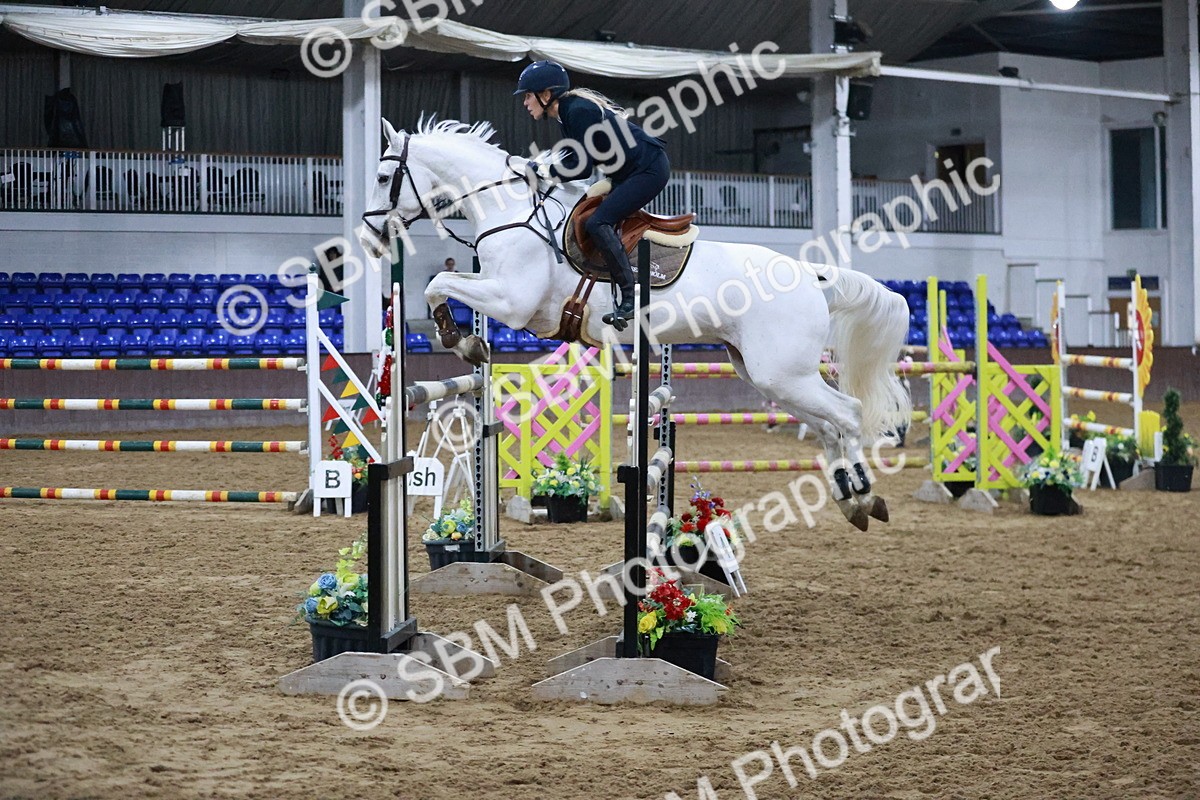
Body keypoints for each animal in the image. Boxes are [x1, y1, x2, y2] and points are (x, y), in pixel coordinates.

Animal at [360, 118, 912, 531]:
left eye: (385, 178)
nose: (368, 238)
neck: (510, 211)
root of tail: (810, 272)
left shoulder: (511, 303)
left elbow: (438, 282)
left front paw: (461, 339)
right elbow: (441, 284)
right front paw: (466, 341)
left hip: (783, 374)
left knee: (847, 414)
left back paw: (865, 495)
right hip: (766, 375)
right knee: (826, 426)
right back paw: (850, 499)